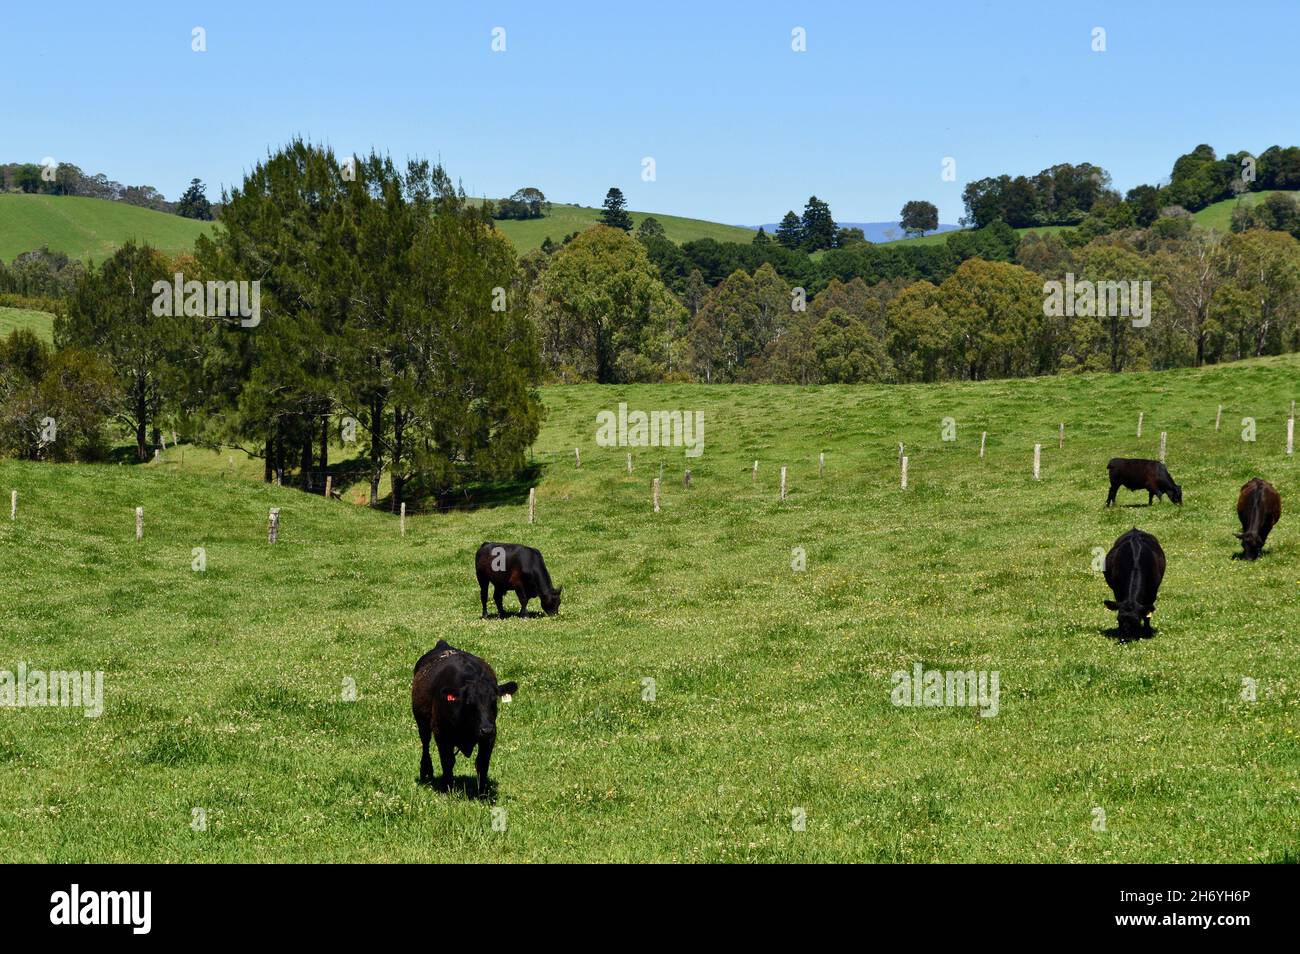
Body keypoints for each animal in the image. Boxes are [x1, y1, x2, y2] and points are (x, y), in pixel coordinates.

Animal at [412, 640, 518, 795]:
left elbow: (482, 763)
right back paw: (426, 772)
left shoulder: (491, 735)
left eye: (494, 701)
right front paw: (447, 788)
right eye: (469, 703)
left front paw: (482, 792)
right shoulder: (441, 733)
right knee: (425, 745)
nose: (486, 729)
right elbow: (447, 761)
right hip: (422, 723)